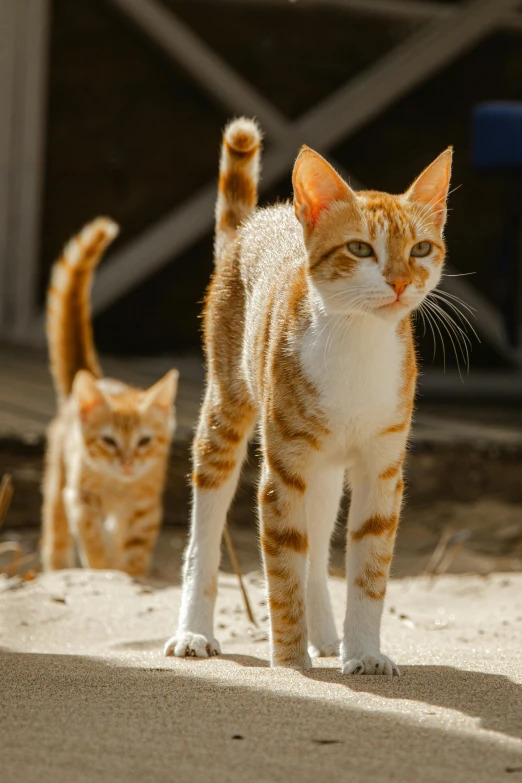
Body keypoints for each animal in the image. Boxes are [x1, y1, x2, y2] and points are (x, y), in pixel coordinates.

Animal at [41, 217, 179, 580]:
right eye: (108, 441)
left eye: (144, 441)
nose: (127, 462)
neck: (118, 487)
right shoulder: (80, 500)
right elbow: (92, 542)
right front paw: (103, 571)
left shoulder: (145, 509)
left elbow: (133, 553)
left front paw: (130, 576)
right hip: (59, 472)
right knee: (55, 524)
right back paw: (57, 564)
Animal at [167, 118, 450, 672]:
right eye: (360, 249)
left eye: (420, 250)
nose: (400, 281)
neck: (357, 343)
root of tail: (258, 220)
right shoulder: (283, 471)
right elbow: (283, 567)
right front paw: (291, 665)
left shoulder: (381, 467)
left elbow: (368, 568)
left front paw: (363, 653)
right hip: (227, 410)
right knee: (205, 532)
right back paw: (194, 630)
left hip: (325, 468)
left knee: (317, 548)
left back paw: (325, 634)